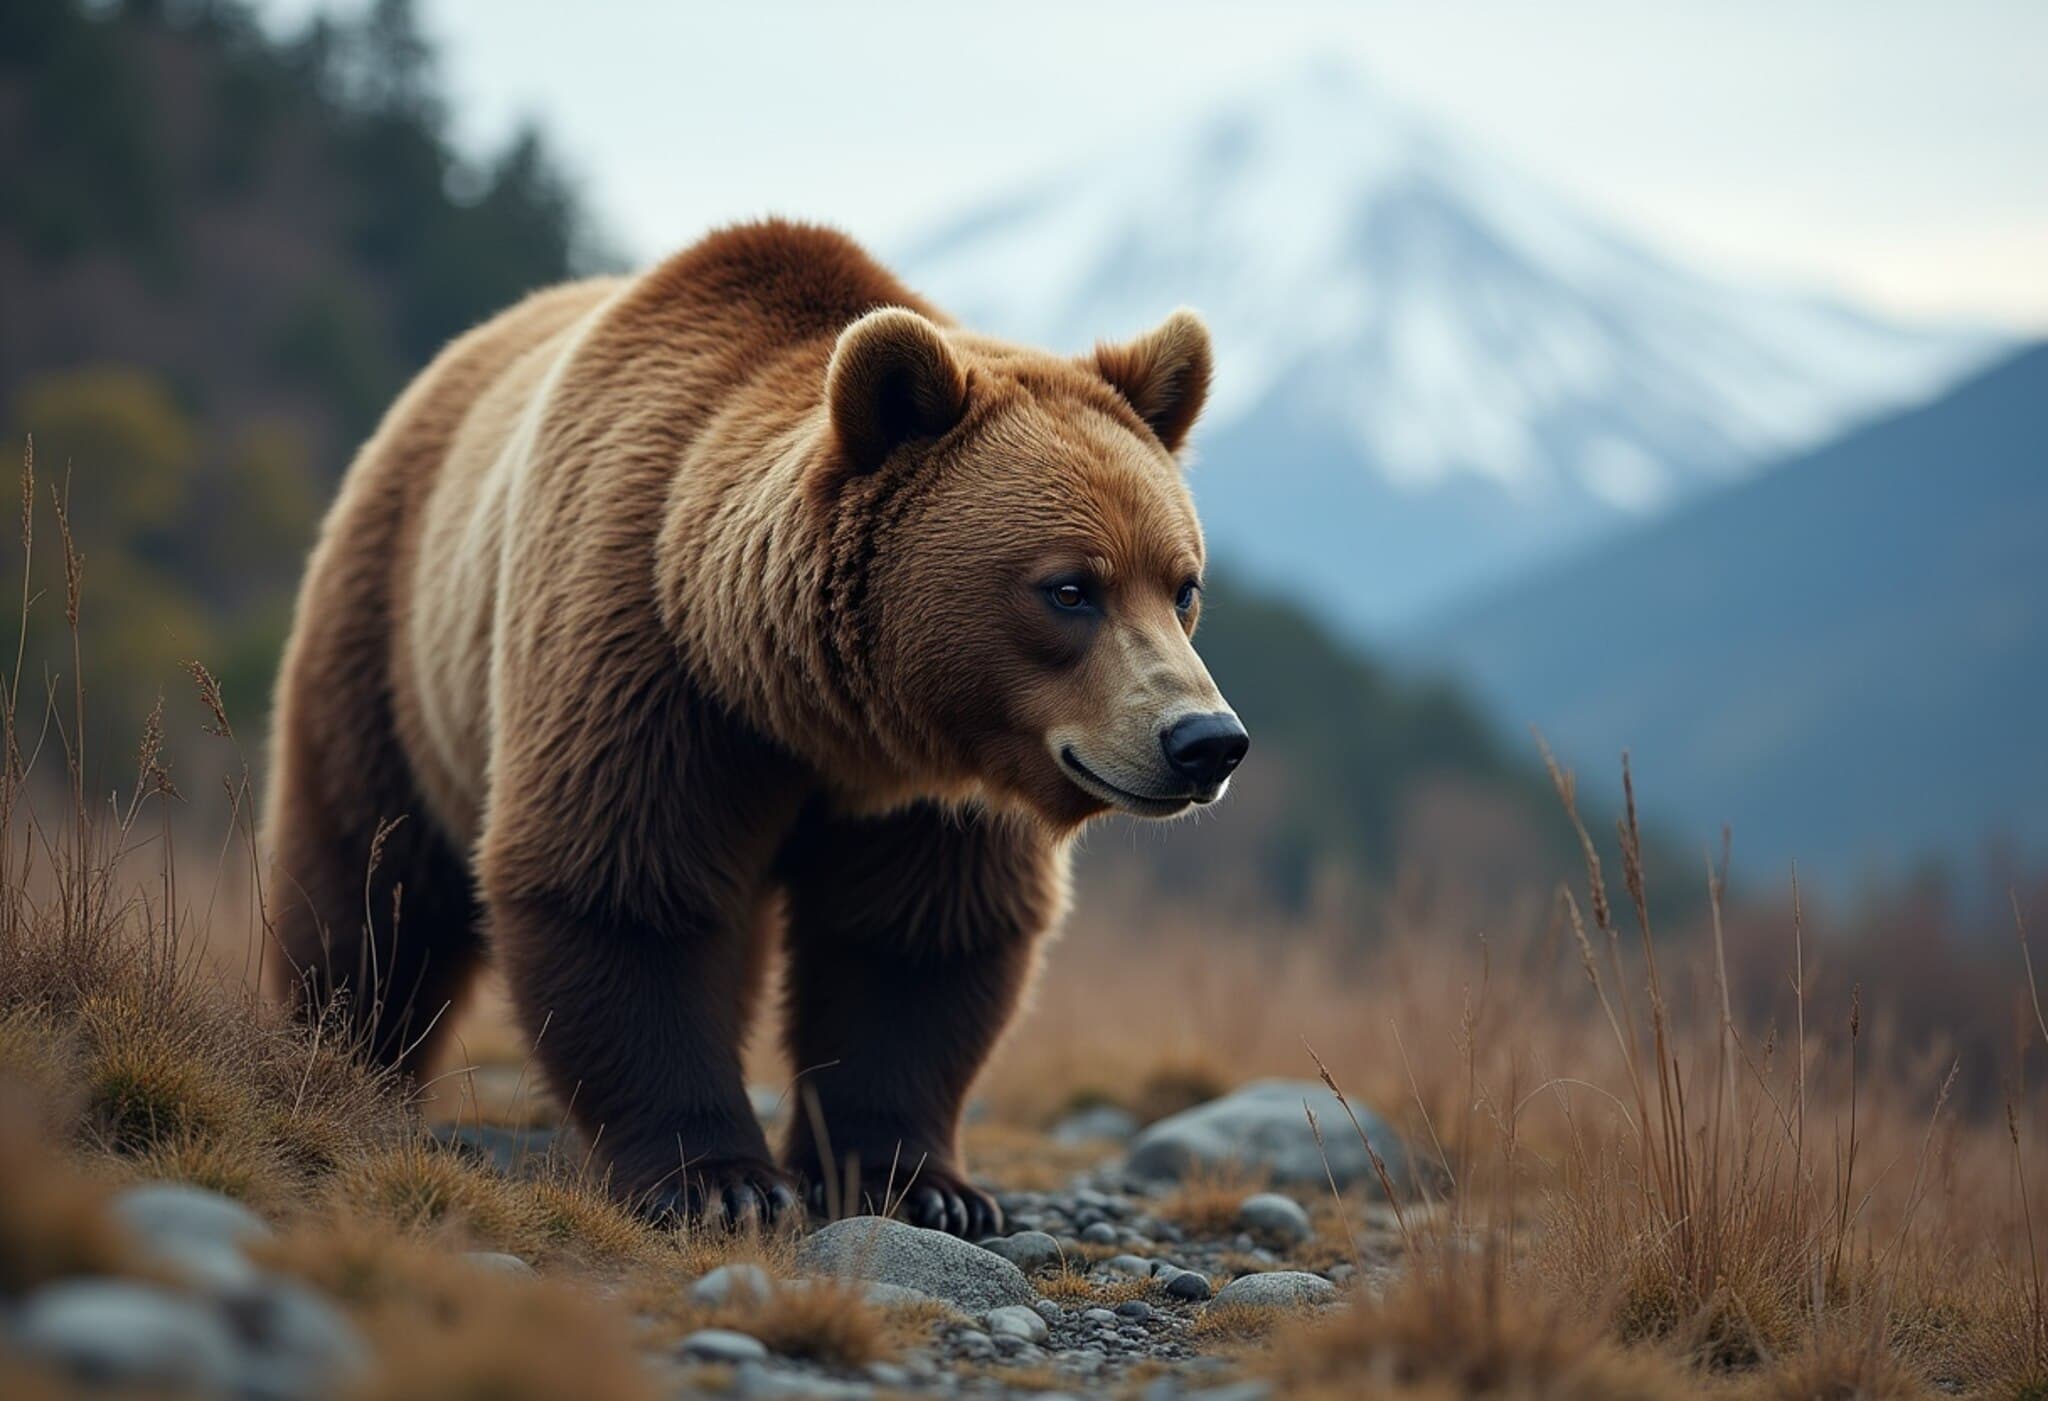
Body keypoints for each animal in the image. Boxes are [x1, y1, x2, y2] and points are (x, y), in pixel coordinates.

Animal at [262, 219, 1247, 1237]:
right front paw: (717, 1179)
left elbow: (916, 937)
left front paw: (923, 1185)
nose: (1203, 739)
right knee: (371, 876)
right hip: (391, 641)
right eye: (1069, 588)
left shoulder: (937, 791)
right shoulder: (645, 666)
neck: (813, 720)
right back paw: (349, 1059)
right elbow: (621, 883)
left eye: (1181, 584)